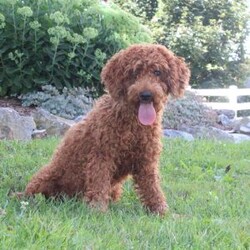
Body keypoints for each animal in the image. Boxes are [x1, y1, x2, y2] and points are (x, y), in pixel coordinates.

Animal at [25, 43, 189, 215]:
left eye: (157, 72)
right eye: (134, 72)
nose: (146, 95)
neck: (133, 125)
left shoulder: (146, 161)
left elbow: (152, 187)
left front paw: (160, 211)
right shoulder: (102, 156)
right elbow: (99, 182)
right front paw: (97, 210)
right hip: (46, 179)